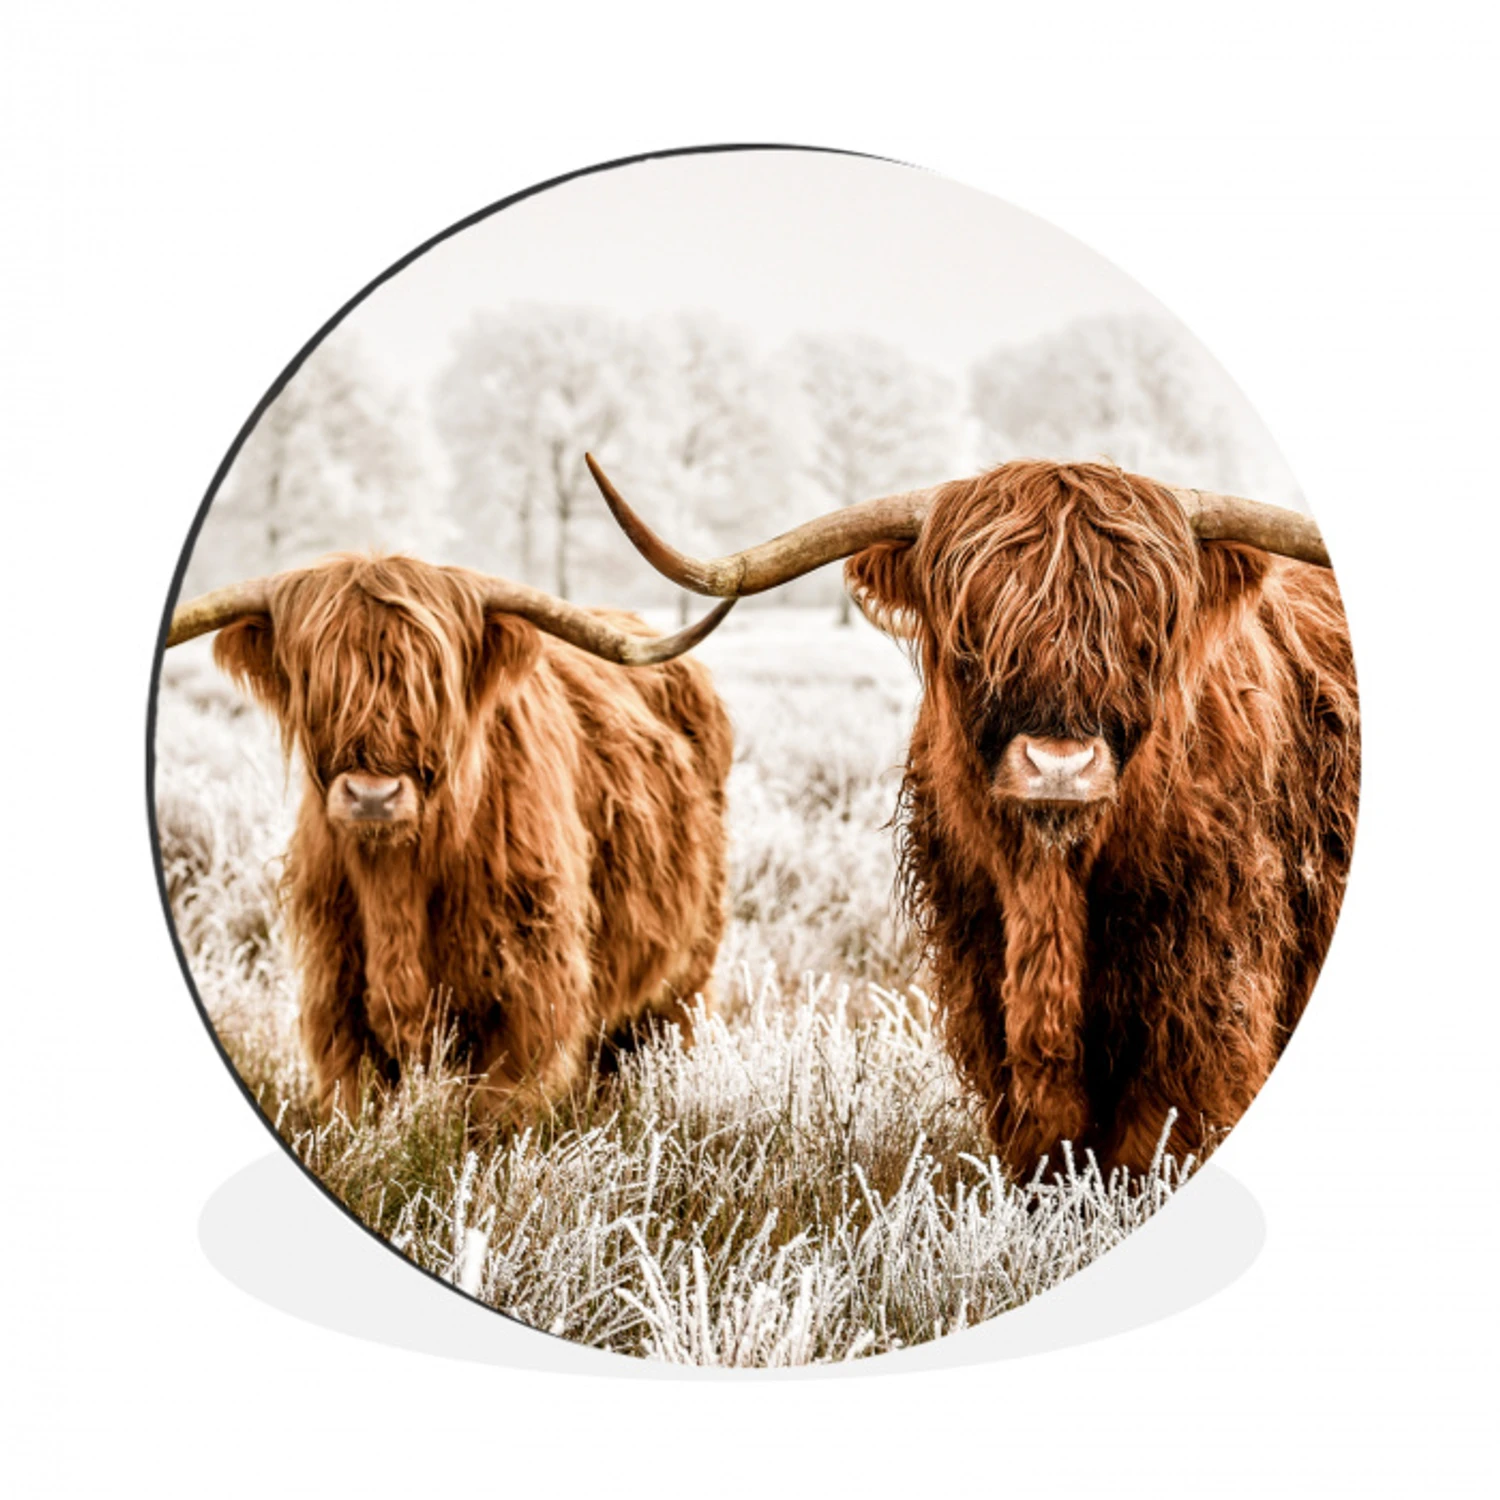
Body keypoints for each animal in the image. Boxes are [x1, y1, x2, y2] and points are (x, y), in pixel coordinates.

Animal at [164, 555, 736, 1128]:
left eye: (434, 682)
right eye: (315, 678)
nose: (373, 796)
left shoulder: (528, 991)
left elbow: (497, 1111)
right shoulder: (336, 990)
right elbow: (356, 1101)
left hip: (686, 969)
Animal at [586, 454, 1359, 1179]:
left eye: (1146, 636)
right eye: (973, 636)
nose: (1058, 765)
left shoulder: (1205, 997)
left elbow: (1158, 1140)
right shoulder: (981, 974)